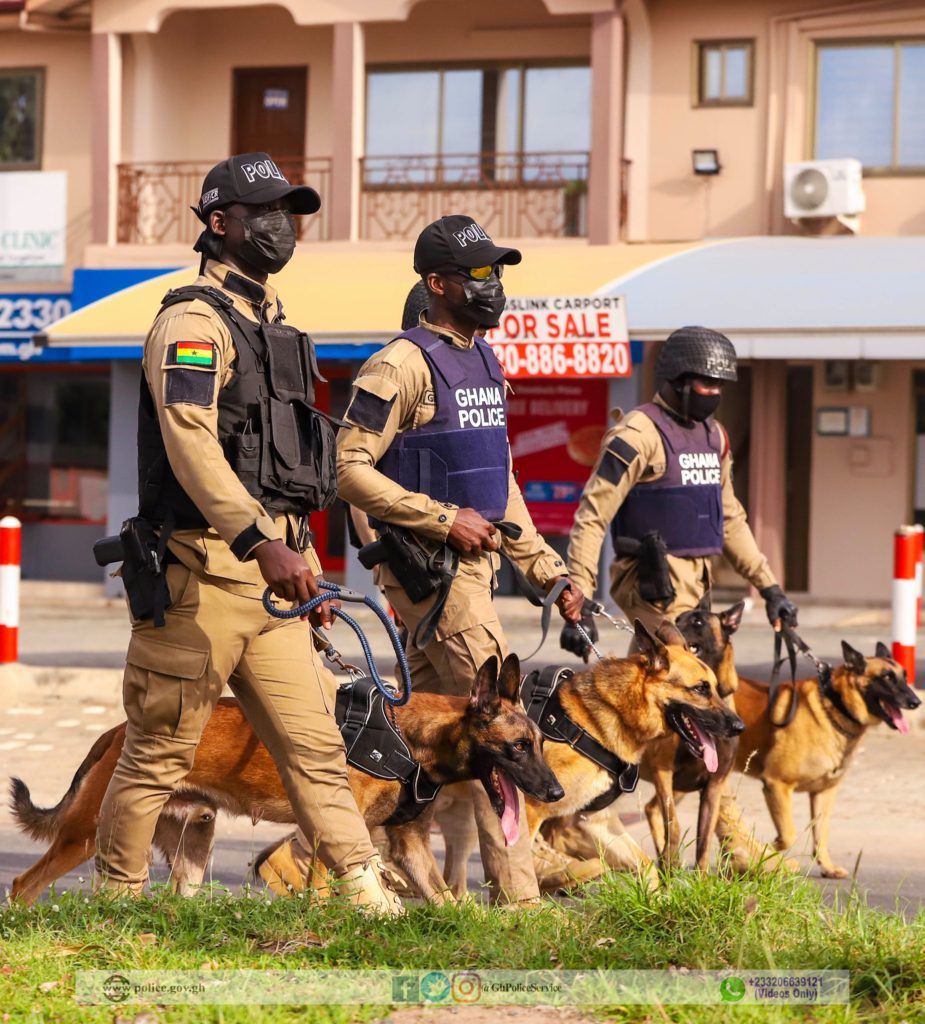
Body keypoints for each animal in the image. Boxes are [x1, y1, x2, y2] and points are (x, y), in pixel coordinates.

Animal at [9, 655, 565, 905]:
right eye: (520, 747)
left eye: (539, 743)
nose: (556, 792)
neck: (408, 738)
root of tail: (118, 730)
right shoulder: (327, 835)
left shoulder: (410, 845)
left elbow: (448, 901)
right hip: (85, 836)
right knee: (22, 883)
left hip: (193, 847)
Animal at [639, 598, 749, 872]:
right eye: (678, 619)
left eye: (697, 622)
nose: (661, 629)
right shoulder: (662, 773)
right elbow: (674, 825)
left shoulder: (713, 786)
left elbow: (704, 839)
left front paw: (700, 879)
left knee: (651, 809)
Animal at [733, 643, 921, 876]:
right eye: (887, 677)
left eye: (904, 676)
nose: (916, 702)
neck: (834, 705)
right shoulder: (777, 785)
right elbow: (788, 836)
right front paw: (767, 848)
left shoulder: (823, 793)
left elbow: (821, 835)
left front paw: (828, 867)